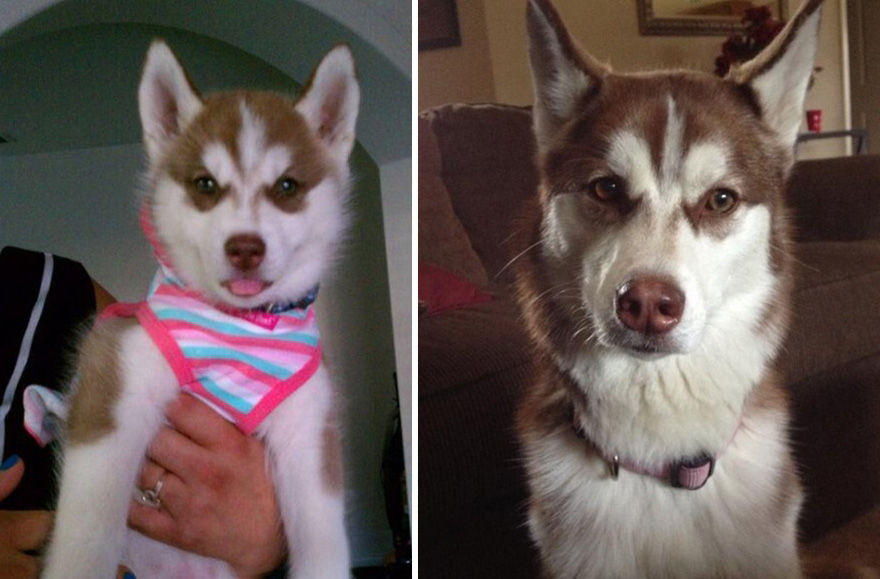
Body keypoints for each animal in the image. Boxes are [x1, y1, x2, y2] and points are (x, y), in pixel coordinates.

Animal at [42, 40, 358, 578]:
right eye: (206, 185)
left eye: (287, 187)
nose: (245, 247)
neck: (238, 327)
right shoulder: (117, 377)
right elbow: (88, 527)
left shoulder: (310, 429)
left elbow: (323, 539)